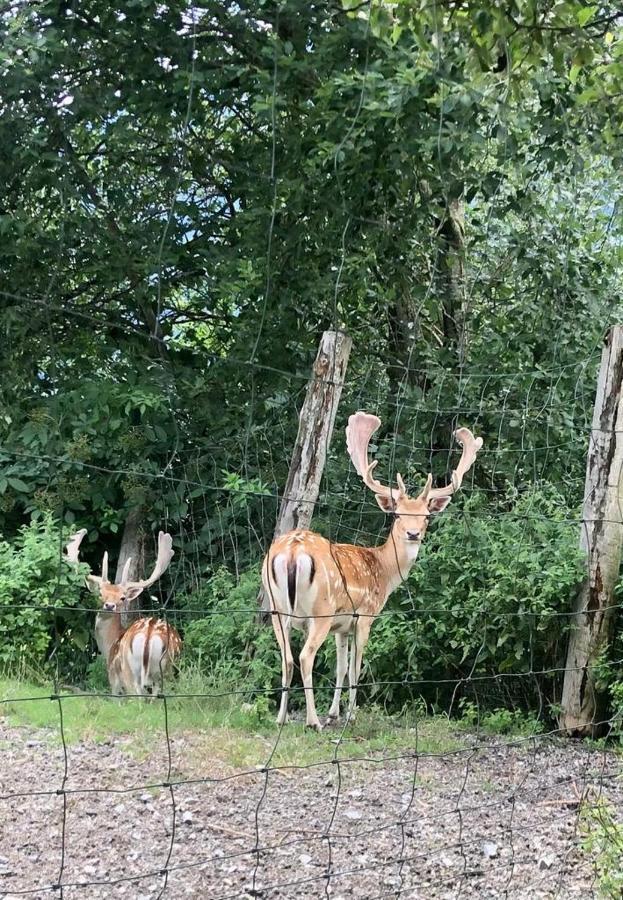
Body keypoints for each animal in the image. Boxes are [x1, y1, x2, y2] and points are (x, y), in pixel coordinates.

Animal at [66, 528, 183, 696]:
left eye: (122, 597)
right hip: (168, 671)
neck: (109, 644)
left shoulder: (113, 678)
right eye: (100, 593)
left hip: (129, 671)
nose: (109, 605)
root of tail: (149, 635)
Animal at [260, 414, 486, 732]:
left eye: (425, 516)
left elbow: (341, 667)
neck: (383, 571)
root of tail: (292, 552)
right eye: (398, 514)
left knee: (286, 658)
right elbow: (356, 668)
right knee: (304, 657)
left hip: (277, 608)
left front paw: (334, 713)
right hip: (320, 610)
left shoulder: (341, 626)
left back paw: (281, 718)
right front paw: (350, 715)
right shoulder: (365, 615)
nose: (413, 534)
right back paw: (312, 722)